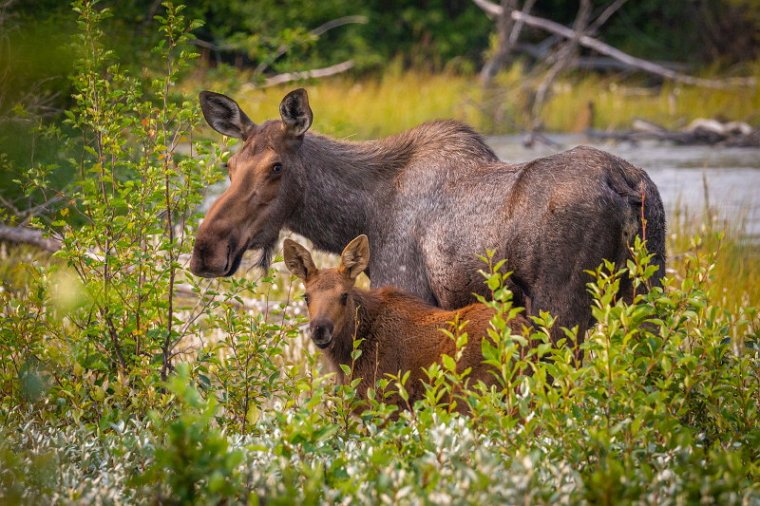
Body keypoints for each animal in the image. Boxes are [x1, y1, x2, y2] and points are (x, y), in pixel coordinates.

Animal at [191, 88, 664, 344]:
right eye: (229, 165)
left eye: (276, 166)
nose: (205, 250)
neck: (362, 215)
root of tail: (627, 184)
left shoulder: (406, 288)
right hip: (649, 287)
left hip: (561, 307)